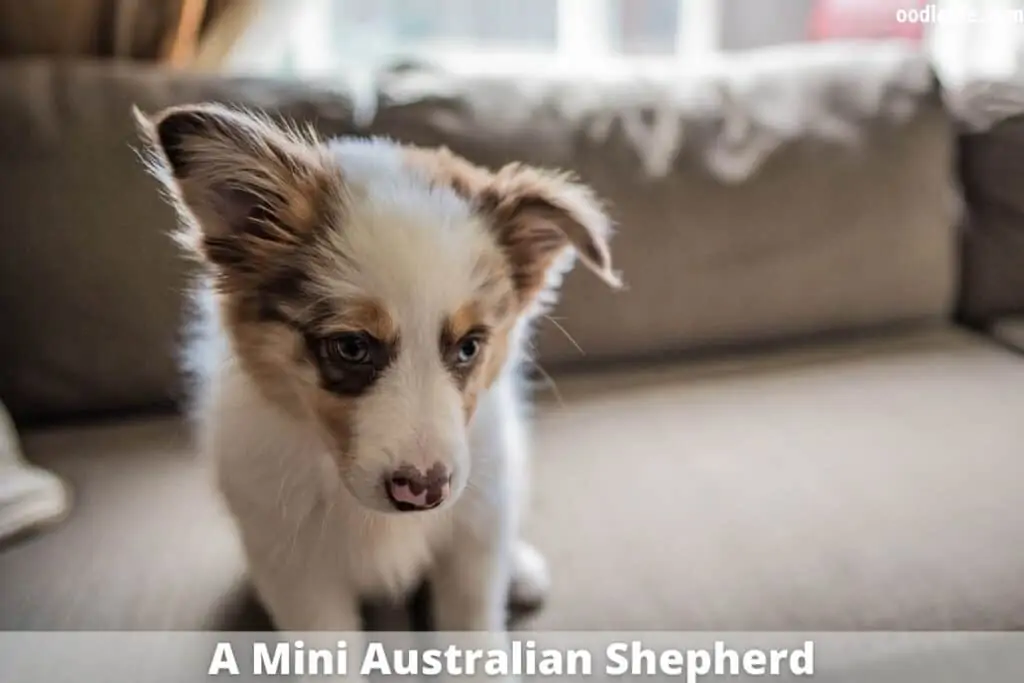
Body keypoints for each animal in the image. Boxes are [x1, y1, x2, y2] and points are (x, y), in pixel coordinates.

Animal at [133, 102, 618, 651]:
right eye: (351, 347)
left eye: (470, 346)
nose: (424, 491)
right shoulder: (296, 570)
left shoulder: (472, 541)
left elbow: (473, 634)